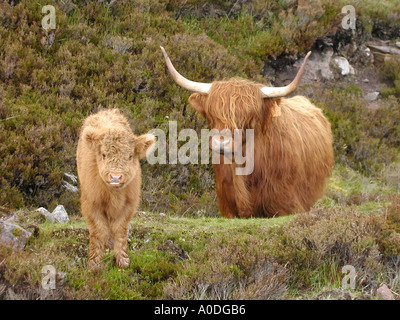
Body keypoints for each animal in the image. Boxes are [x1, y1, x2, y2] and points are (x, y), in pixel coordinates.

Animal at [76, 109, 156, 268]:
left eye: (130, 156)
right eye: (104, 154)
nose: (115, 177)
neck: (114, 195)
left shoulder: (128, 205)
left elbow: (120, 230)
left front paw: (123, 260)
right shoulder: (91, 204)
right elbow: (98, 231)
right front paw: (95, 263)